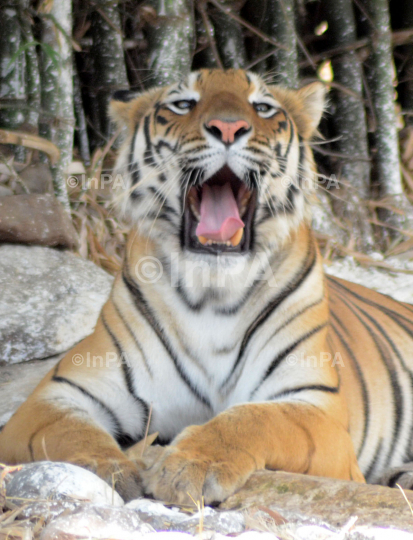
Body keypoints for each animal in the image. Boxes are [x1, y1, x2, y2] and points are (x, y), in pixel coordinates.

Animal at [2, 68, 412, 506]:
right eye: (184, 104)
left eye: (262, 107)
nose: (228, 128)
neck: (213, 291)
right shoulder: (56, 395)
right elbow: (68, 433)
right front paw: (108, 469)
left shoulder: (317, 409)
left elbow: (255, 417)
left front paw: (189, 467)